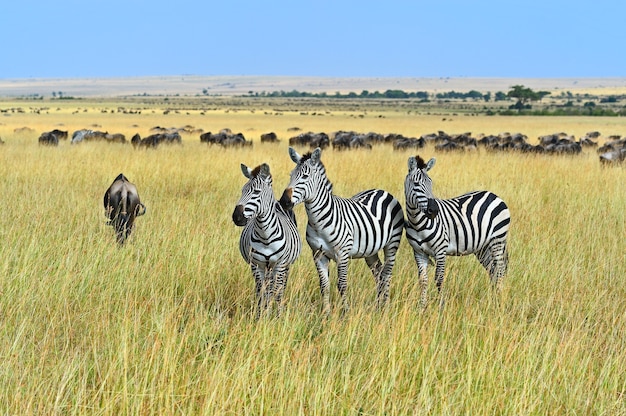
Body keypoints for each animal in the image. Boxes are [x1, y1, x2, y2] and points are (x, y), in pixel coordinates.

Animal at [233, 162, 304, 318]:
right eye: (242, 191)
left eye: (256, 192)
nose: (236, 217)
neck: (265, 236)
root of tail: (278, 201)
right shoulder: (256, 264)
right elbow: (261, 291)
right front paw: (261, 315)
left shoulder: (280, 264)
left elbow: (277, 291)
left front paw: (277, 316)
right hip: (267, 266)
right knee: (267, 287)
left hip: (283, 266)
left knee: (279, 286)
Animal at [280, 148, 404, 314]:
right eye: (291, 175)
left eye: (305, 176)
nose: (284, 202)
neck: (318, 222)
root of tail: (382, 191)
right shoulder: (318, 254)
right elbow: (324, 285)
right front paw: (326, 313)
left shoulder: (342, 254)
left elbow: (342, 285)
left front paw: (345, 312)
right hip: (370, 251)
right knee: (378, 273)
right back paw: (378, 306)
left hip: (392, 244)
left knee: (387, 274)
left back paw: (386, 306)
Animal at [402, 156, 510, 308]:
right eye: (416, 183)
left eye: (431, 183)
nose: (434, 210)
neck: (418, 223)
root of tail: (494, 195)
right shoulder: (418, 252)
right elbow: (423, 280)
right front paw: (422, 307)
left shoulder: (440, 250)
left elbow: (439, 278)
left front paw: (441, 307)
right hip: (482, 247)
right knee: (493, 271)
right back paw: (493, 301)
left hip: (497, 240)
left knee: (500, 271)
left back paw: (499, 303)